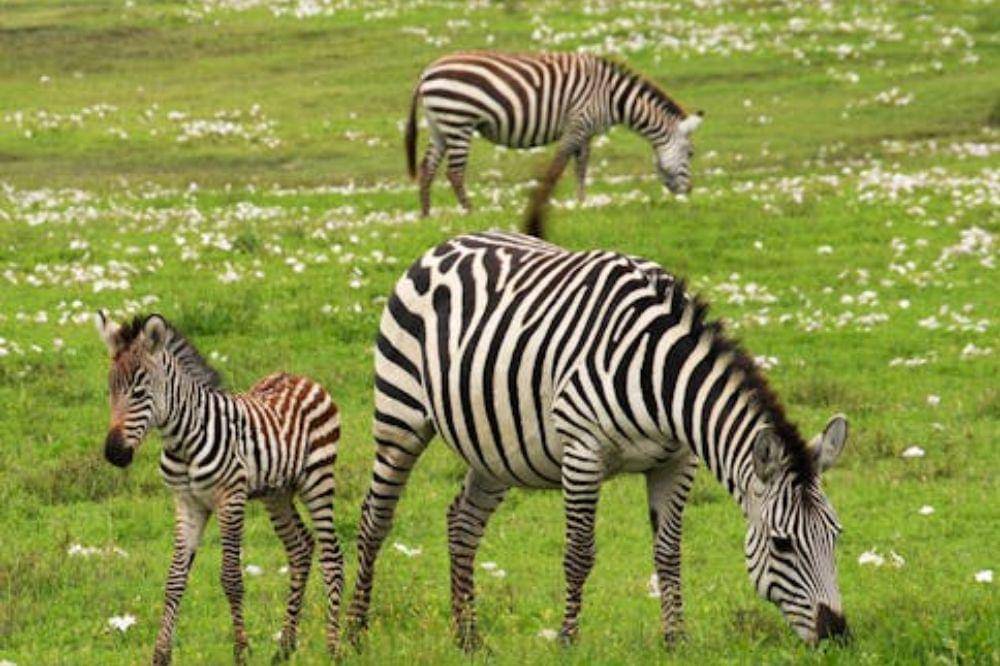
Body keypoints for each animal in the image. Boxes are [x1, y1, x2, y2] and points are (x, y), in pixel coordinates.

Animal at [95, 312, 343, 664]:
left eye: (140, 392)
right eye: (110, 390)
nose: (114, 454)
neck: (183, 440)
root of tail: (303, 378)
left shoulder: (231, 498)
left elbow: (231, 578)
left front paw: (241, 651)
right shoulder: (187, 503)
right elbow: (175, 579)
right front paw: (161, 655)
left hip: (318, 479)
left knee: (332, 556)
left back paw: (334, 647)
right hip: (277, 493)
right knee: (300, 547)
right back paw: (284, 647)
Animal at [346, 231, 849, 648]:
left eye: (835, 535)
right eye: (782, 544)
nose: (838, 635)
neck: (661, 377)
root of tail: (445, 243)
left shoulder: (677, 461)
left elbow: (669, 553)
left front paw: (676, 640)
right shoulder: (583, 451)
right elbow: (579, 553)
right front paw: (567, 640)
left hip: (494, 446)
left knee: (462, 522)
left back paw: (467, 637)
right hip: (399, 416)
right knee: (375, 519)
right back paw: (354, 632)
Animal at [404, 51, 703, 225]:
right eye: (690, 154)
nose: (689, 192)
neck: (612, 98)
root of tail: (426, 72)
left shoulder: (586, 132)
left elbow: (581, 167)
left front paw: (582, 203)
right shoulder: (577, 124)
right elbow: (559, 166)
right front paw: (548, 202)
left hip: (440, 124)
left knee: (427, 166)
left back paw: (426, 214)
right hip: (459, 120)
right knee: (454, 173)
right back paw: (470, 211)